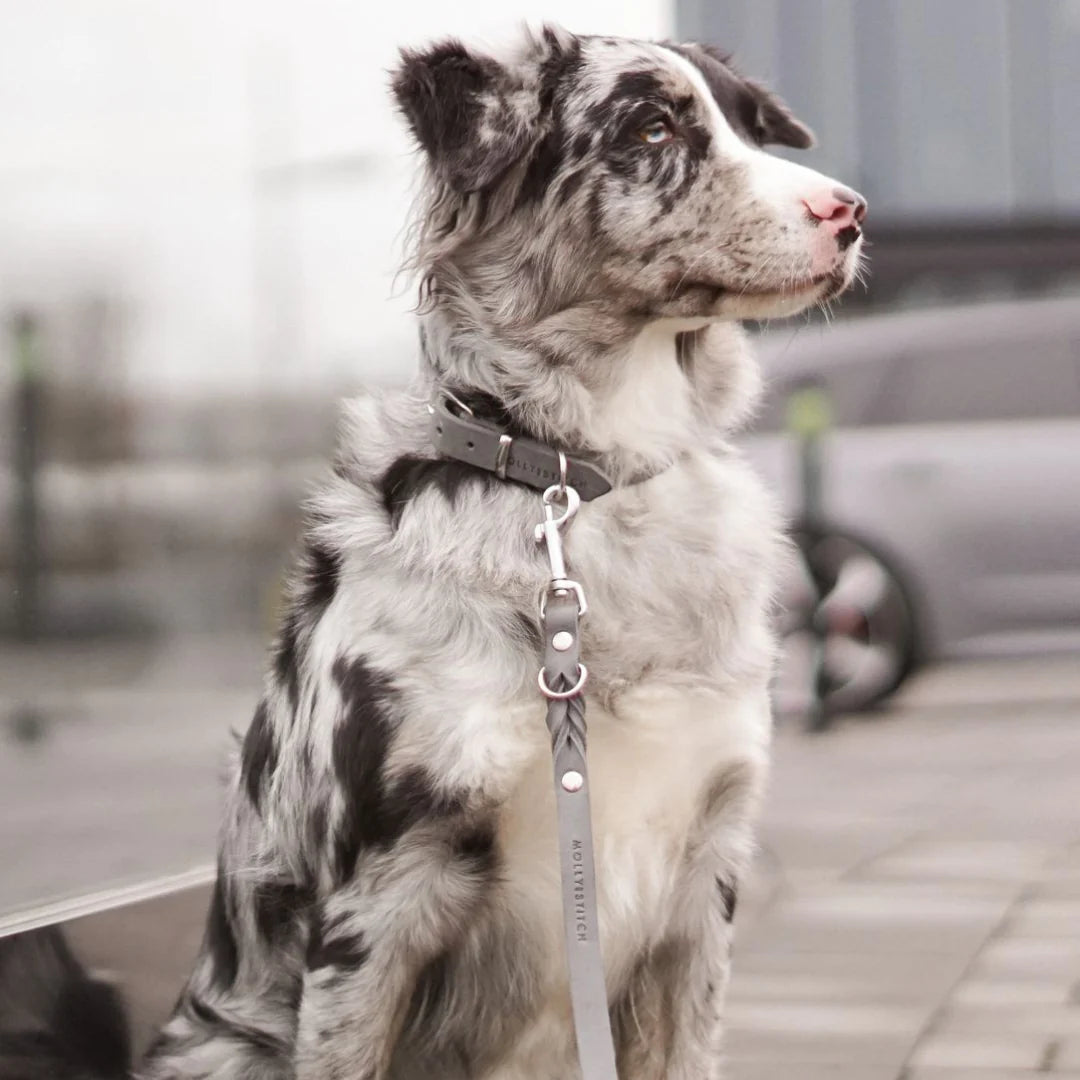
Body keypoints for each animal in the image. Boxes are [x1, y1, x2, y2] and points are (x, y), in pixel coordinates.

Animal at [139, 25, 864, 1080]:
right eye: (650, 127)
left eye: (750, 125)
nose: (848, 213)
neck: (580, 483)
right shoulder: (379, 895)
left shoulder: (702, 878)